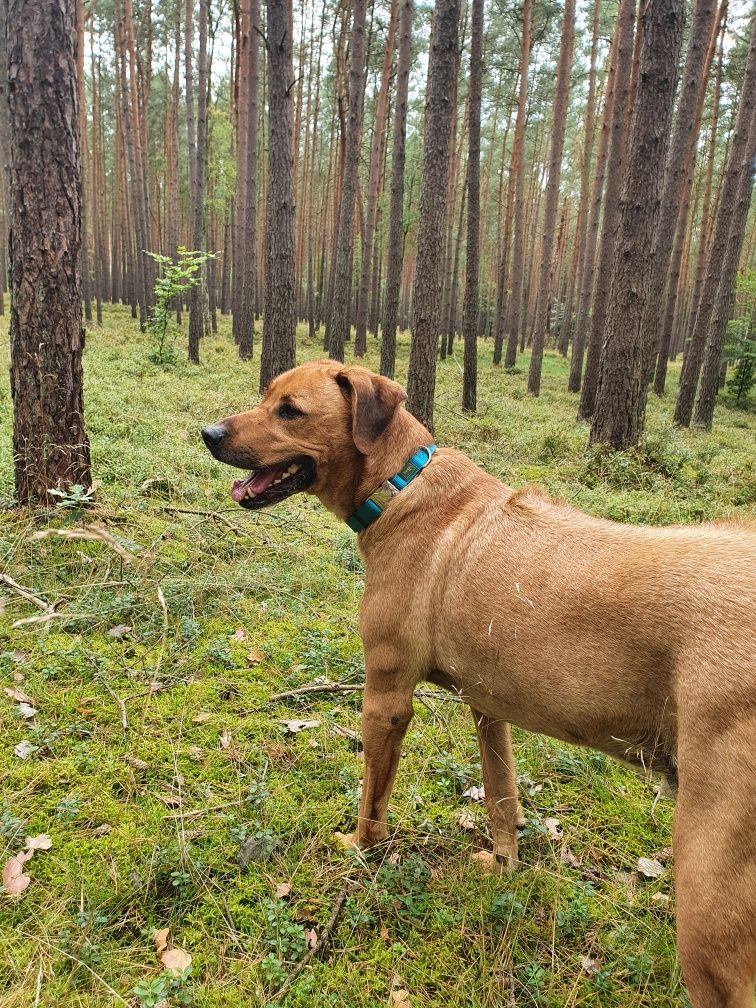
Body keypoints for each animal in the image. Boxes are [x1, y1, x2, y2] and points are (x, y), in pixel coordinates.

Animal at [201, 362, 756, 1008]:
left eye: (290, 411)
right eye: (266, 396)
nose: (209, 433)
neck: (398, 486)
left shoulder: (387, 697)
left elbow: (371, 802)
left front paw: (361, 854)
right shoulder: (488, 706)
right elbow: (500, 796)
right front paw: (504, 865)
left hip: (707, 888)